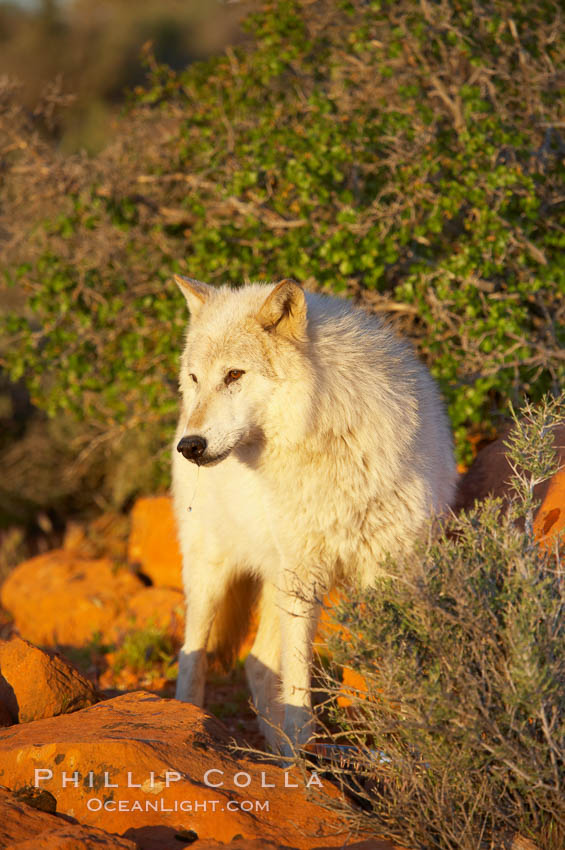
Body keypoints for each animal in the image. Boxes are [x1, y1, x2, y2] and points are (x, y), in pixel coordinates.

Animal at [170, 274, 456, 752]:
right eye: (195, 378)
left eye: (234, 374)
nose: (190, 446)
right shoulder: (304, 575)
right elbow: (299, 683)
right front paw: (305, 747)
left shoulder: (392, 571)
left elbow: (398, 669)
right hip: (212, 572)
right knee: (193, 657)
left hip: (274, 577)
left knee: (256, 662)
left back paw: (284, 753)